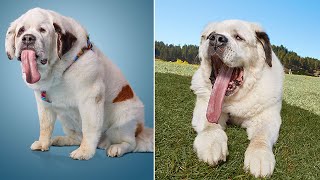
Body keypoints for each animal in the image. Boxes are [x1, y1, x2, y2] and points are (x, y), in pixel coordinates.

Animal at [4, 7, 154, 160]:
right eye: (21, 31)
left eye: (42, 30)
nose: (28, 38)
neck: (58, 71)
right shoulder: (43, 101)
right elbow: (45, 125)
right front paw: (43, 143)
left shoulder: (90, 97)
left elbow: (89, 126)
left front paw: (85, 151)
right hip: (66, 118)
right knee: (76, 137)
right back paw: (59, 140)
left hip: (122, 121)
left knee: (131, 143)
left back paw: (116, 148)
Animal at [190, 20, 282, 177]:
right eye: (210, 35)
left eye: (238, 37)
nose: (216, 38)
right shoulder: (205, 106)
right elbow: (210, 125)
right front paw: (211, 144)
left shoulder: (267, 116)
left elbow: (260, 136)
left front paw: (259, 155)